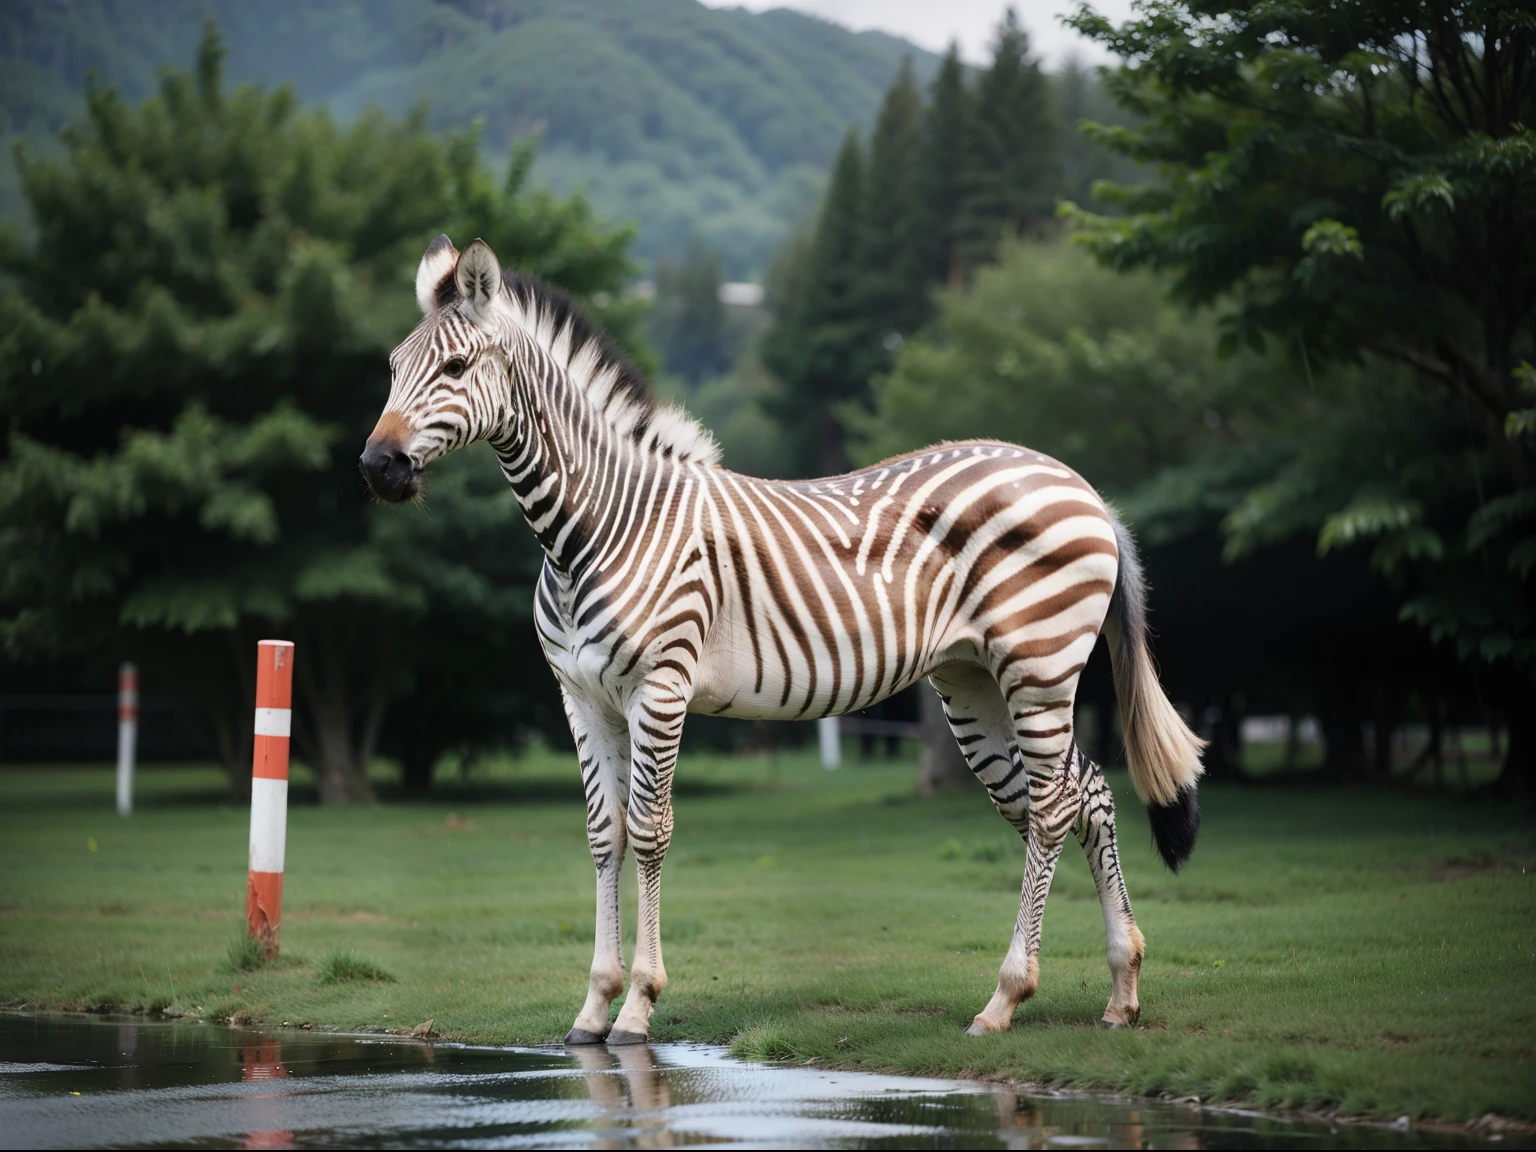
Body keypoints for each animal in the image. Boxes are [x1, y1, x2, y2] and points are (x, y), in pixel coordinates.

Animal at [359, 239, 1198, 1050]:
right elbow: (604, 836)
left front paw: (638, 1007)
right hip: (977, 684)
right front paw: (593, 1006)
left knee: (1054, 810)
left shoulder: (661, 688)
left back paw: (1005, 999)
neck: (592, 530)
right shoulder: (582, 697)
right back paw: (1121, 988)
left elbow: (650, 833)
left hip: (1039, 665)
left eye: (456, 368)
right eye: (393, 367)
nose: (377, 465)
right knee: (1083, 795)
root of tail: (1079, 482)